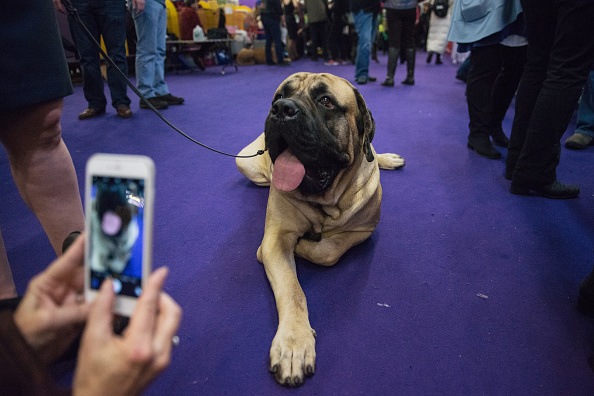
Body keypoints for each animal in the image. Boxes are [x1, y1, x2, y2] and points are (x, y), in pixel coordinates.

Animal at [234, 72, 404, 386]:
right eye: (279, 96)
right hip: (245, 161)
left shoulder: (363, 230)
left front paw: (305, 245)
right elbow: (293, 291)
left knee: (373, 152)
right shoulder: (275, 240)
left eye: (326, 101)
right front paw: (293, 345)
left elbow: (329, 251)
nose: (281, 109)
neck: (324, 202)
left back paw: (388, 158)